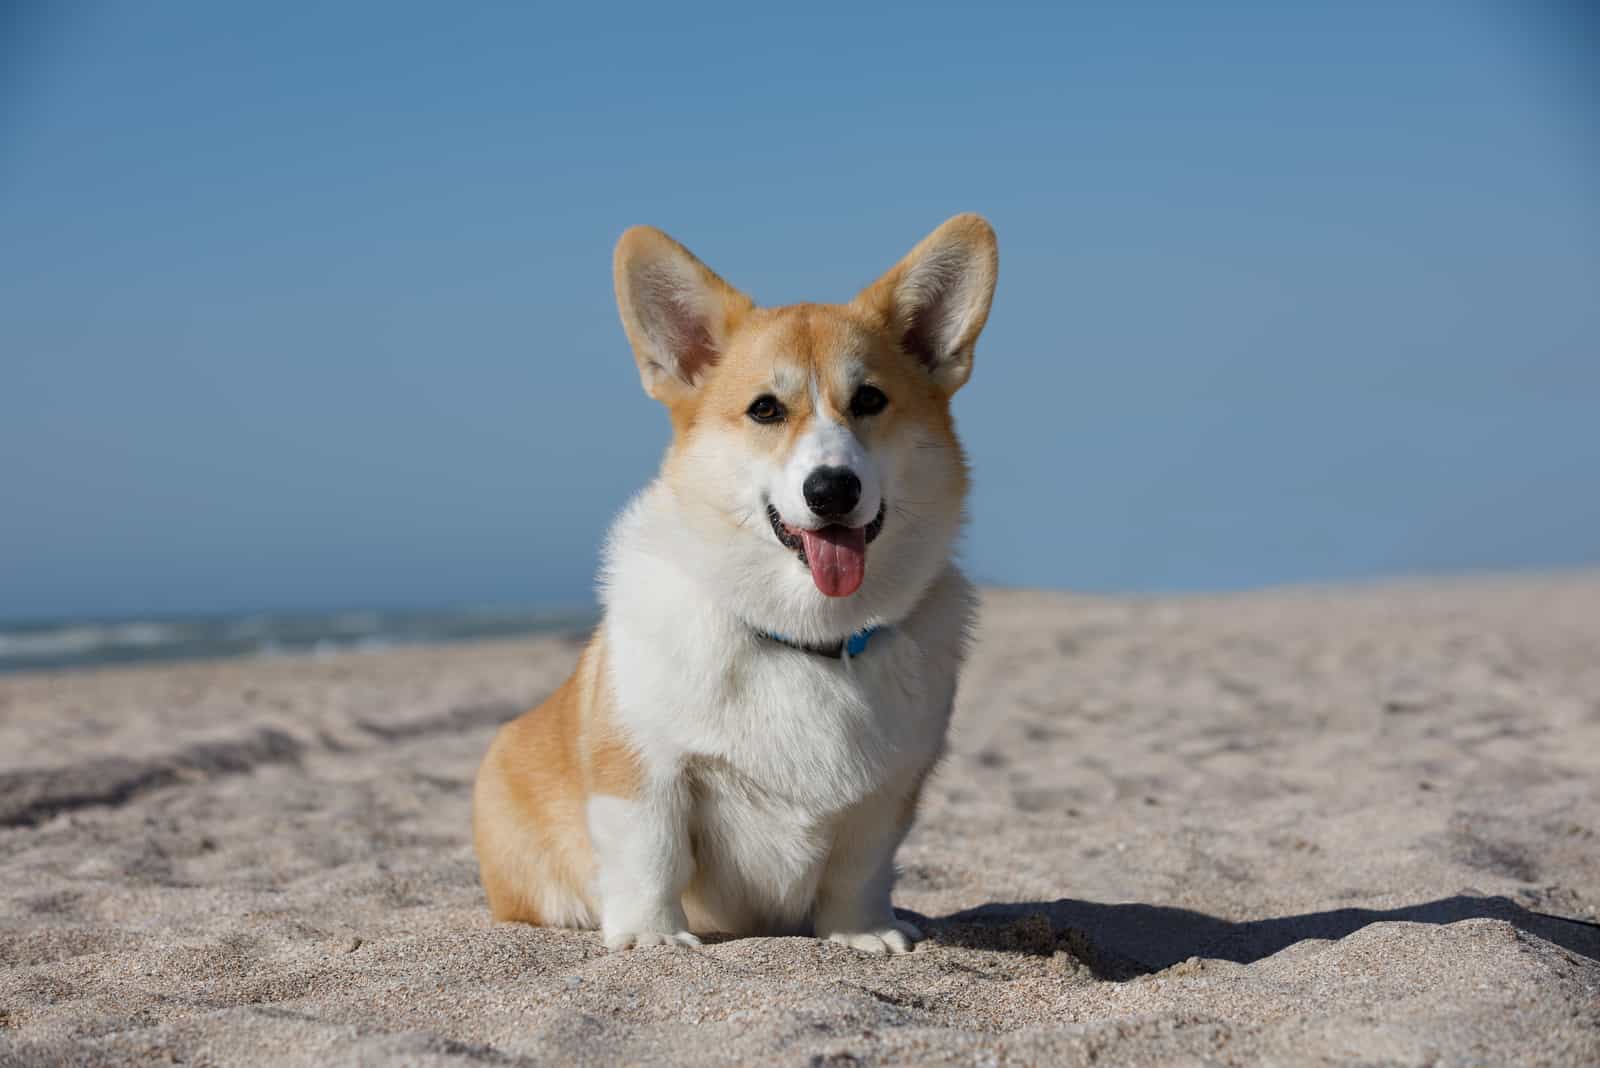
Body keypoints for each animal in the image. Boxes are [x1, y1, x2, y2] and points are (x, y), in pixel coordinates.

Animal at [473, 212, 992, 952]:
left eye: (869, 399)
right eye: (766, 410)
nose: (832, 489)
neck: (806, 637)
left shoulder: (886, 795)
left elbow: (859, 869)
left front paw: (862, 933)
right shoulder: (646, 770)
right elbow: (651, 855)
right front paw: (654, 939)